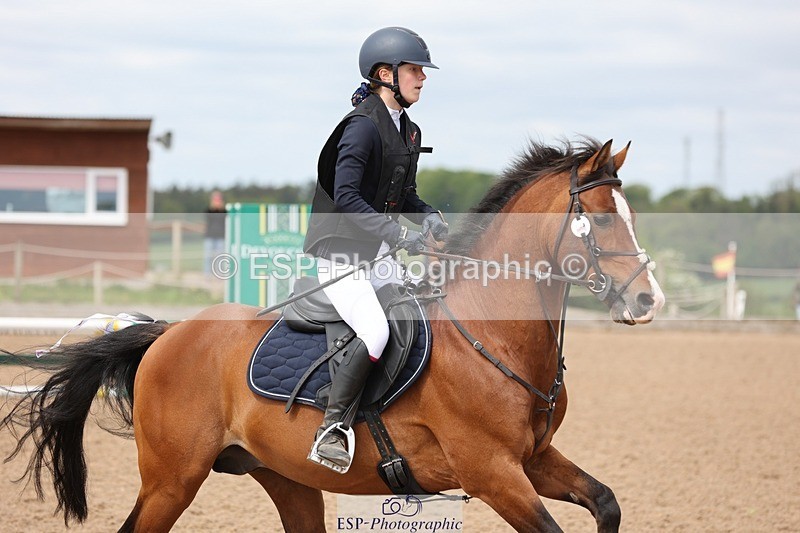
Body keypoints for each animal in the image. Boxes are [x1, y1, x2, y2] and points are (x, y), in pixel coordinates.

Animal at [1, 138, 664, 532]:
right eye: (601, 219)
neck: (491, 337)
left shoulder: (533, 458)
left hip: (285, 477)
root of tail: (169, 334)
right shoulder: (492, 471)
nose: (648, 300)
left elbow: (606, 501)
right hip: (173, 478)